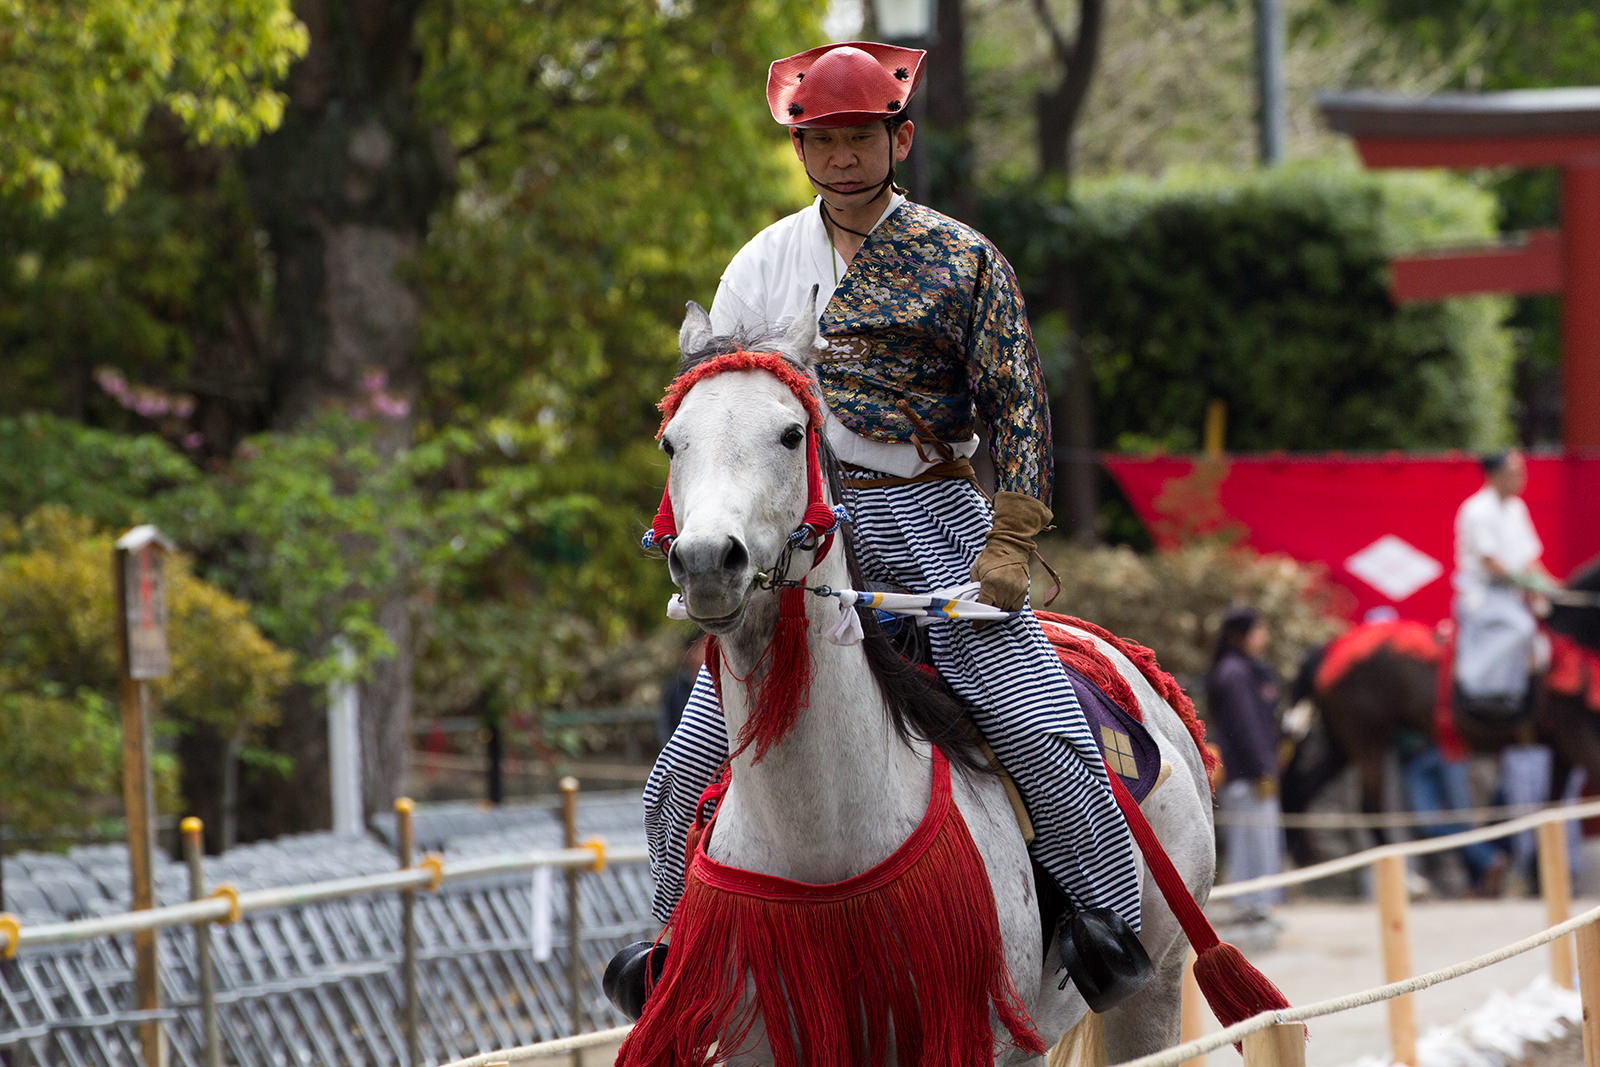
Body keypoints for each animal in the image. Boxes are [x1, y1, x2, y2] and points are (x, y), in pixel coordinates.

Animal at [617, 303, 1216, 1062]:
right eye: (672, 443)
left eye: (790, 434)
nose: (705, 562)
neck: (823, 848)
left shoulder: (977, 1037)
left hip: (1155, 983)